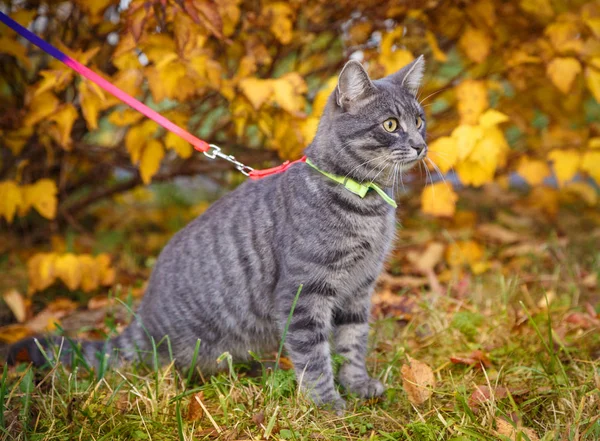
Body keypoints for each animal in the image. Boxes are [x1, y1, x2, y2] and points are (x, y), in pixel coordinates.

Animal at [7, 55, 426, 410]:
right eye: (391, 124)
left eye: (419, 120)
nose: (422, 145)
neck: (366, 203)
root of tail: (144, 319)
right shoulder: (304, 294)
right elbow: (314, 356)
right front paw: (326, 405)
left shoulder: (359, 288)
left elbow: (353, 342)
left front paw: (357, 385)